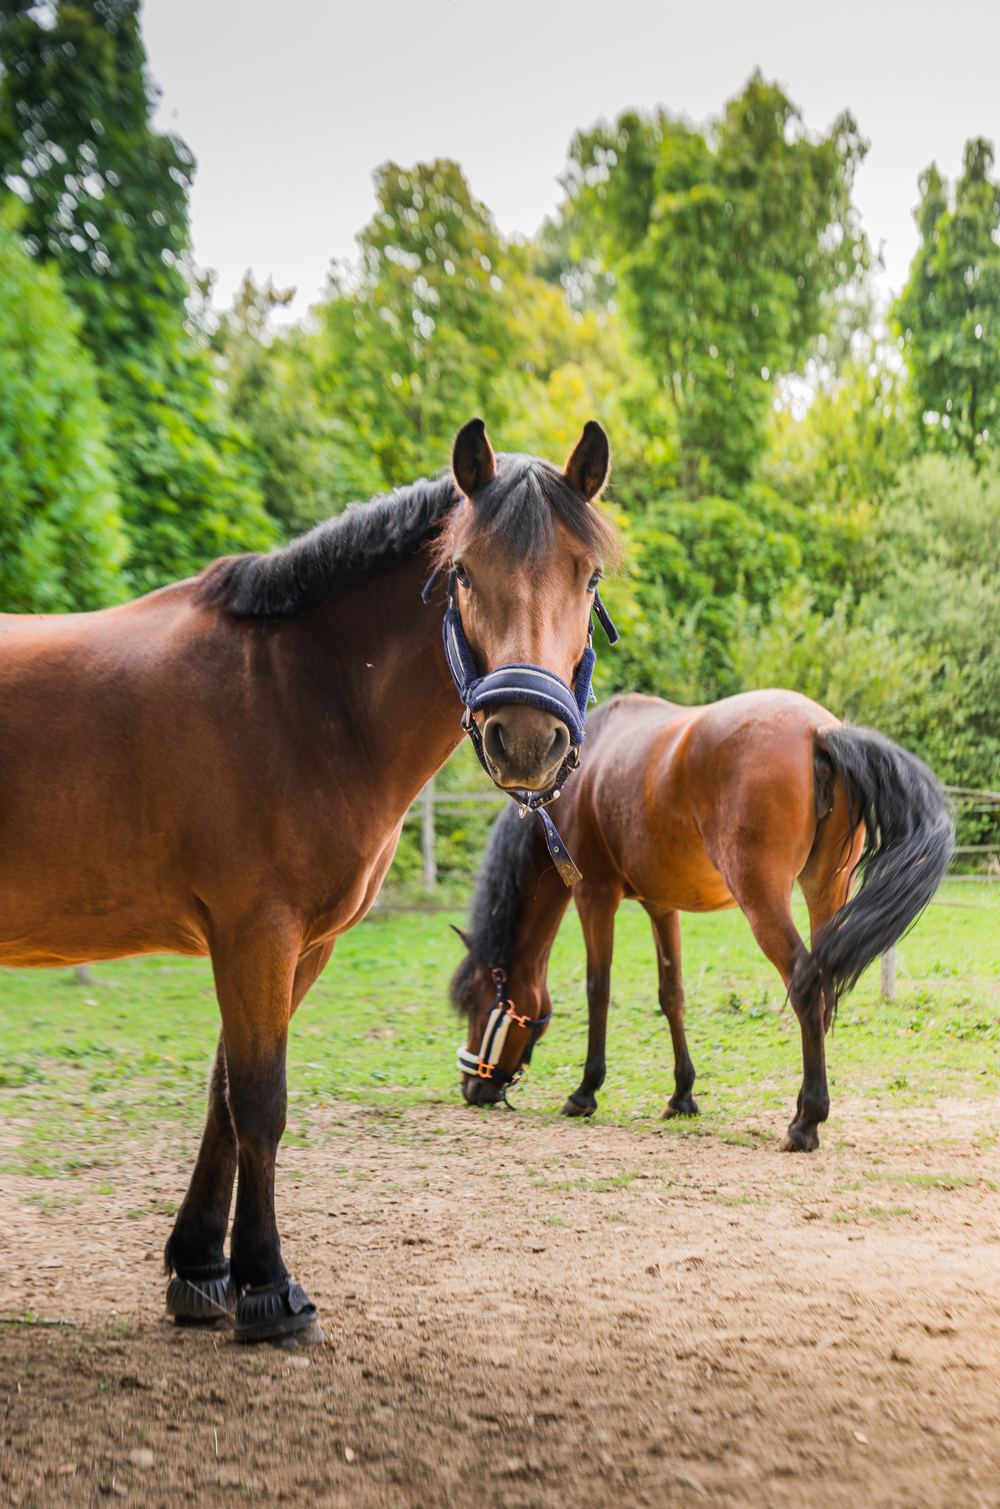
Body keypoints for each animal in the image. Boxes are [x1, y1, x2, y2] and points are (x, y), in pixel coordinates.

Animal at [0, 417, 618, 1341]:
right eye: (464, 572)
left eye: (588, 576)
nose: (526, 737)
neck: (301, 696)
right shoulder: (256, 931)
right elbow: (260, 1100)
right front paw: (267, 1286)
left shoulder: (298, 946)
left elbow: (223, 1092)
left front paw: (200, 1268)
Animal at [451, 690, 953, 1150]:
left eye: (476, 1001)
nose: (473, 1087)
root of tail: (820, 731)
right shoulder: (661, 905)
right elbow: (671, 995)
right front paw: (682, 1094)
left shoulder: (594, 896)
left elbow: (599, 990)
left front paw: (585, 1090)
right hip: (826, 890)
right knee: (823, 984)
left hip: (762, 898)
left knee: (806, 985)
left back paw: (806, 1121)